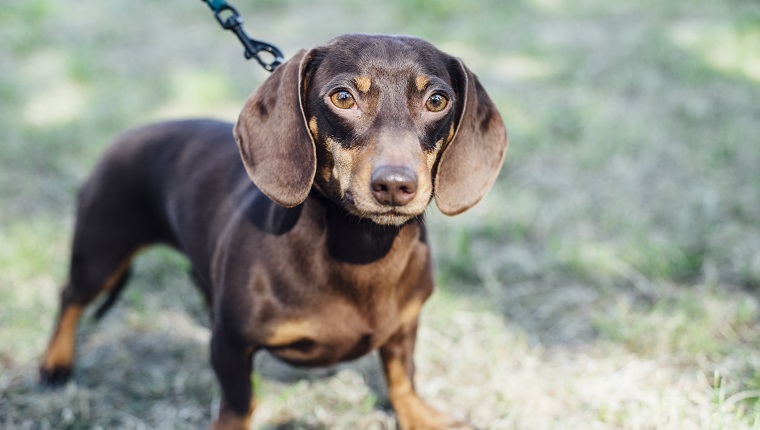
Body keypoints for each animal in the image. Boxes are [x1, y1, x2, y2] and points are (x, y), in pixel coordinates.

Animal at [38, 34, 508, 430]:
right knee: (69, 297)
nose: (395, 184)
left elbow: (401, 377)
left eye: (437, 100)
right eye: (343, 97)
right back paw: (54, 363)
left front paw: (419, 415)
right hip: (100, 252)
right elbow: (237, 405)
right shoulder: (230, 346)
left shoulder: (404, 327)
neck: (362, 251)